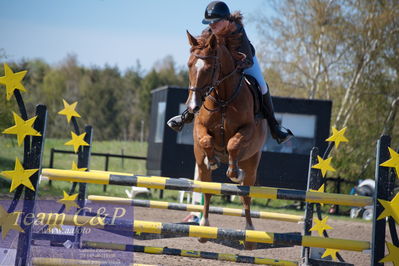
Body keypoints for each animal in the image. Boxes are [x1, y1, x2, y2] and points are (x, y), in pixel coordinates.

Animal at [185, 31, 268, 249]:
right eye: (189, 65)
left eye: (209, 68)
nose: (193, 106)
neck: (222, 98)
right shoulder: (200, 126)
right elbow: (206, 141)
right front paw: (213, 160)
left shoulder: (248, 129)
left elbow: (233, 144)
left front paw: (234, 173)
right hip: (201, 169)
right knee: (207, 191)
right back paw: (204, 227)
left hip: (252, 163)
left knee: (246, 196)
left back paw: (250, 233)